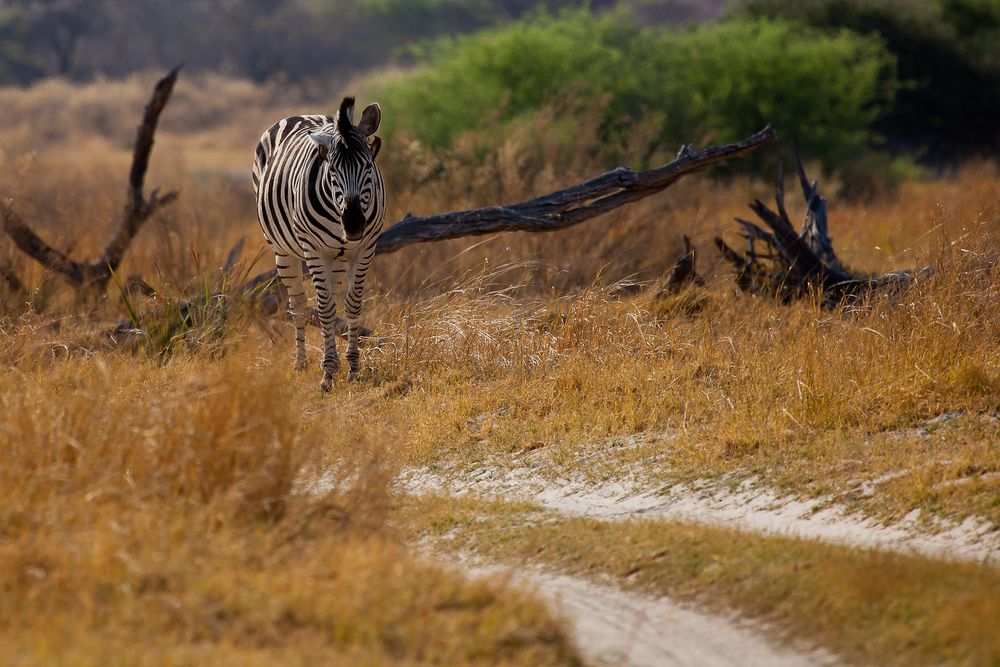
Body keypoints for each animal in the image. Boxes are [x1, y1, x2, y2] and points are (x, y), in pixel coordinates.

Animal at [252, 98, 384, 392]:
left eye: (368, 167)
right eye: (332, 170)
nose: (354, 225)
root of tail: (303, 114)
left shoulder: (365, 248)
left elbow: (352, 304)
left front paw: (353, 367)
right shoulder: (315, 250)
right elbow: (323, 308)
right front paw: (328, 372)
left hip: (337, 258)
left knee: (331, 301)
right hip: (284, 252)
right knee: (300, 305)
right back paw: (300, 362)